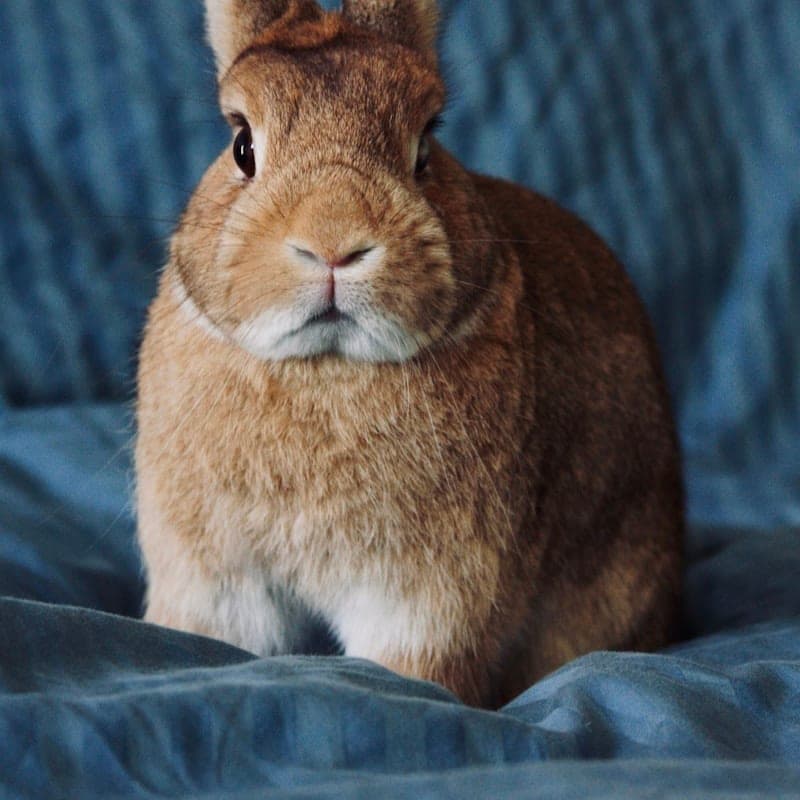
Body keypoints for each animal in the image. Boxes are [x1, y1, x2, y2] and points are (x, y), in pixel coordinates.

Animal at [136, 0, 684, 709]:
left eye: (426, 146)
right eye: (242, 147)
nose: (333, 240)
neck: (328, 367)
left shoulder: (433, 594)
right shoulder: (218, 575)